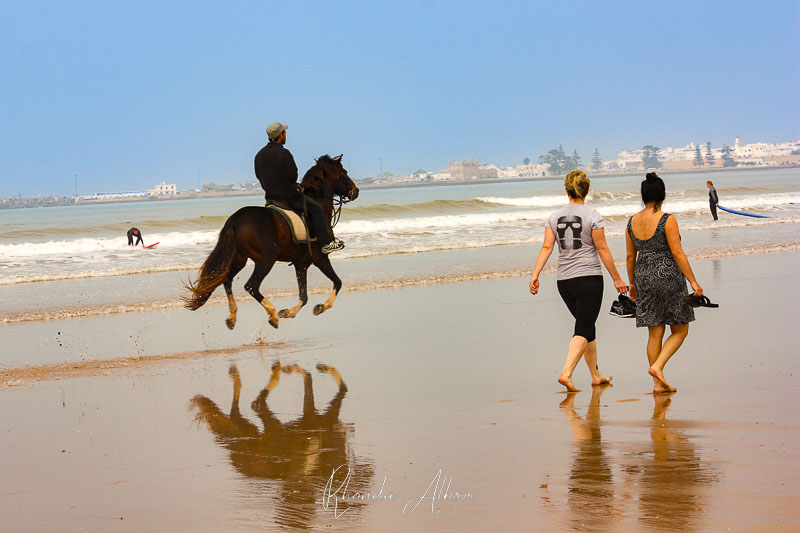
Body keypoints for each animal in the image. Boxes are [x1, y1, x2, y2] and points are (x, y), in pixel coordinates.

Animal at [184, 154, 360, 328]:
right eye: (344, 173)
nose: (356, 191)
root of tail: (235, 220)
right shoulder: (320, 258)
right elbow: (338, 282)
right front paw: (321, 307)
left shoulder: (301, 263)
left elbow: (304, 296)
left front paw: (289, 312)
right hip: (266, 260)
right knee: (251, 286)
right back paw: (272, 314)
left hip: (239, 259)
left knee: (227, 280)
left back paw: (233, 316)